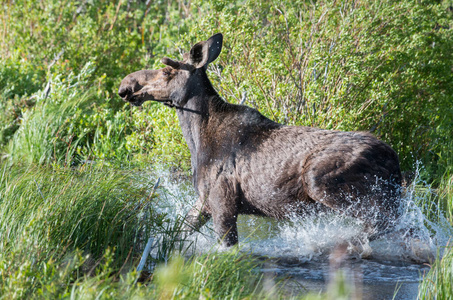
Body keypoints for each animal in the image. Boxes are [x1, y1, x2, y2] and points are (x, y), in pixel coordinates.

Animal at [118, 34, 400, 247]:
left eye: (166, 71)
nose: (126, 86)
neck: (196, 136)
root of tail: (393, 160)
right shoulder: (204, 200)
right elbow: (179, 230)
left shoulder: (223, 200)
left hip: (327, 185)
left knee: (383, 225)